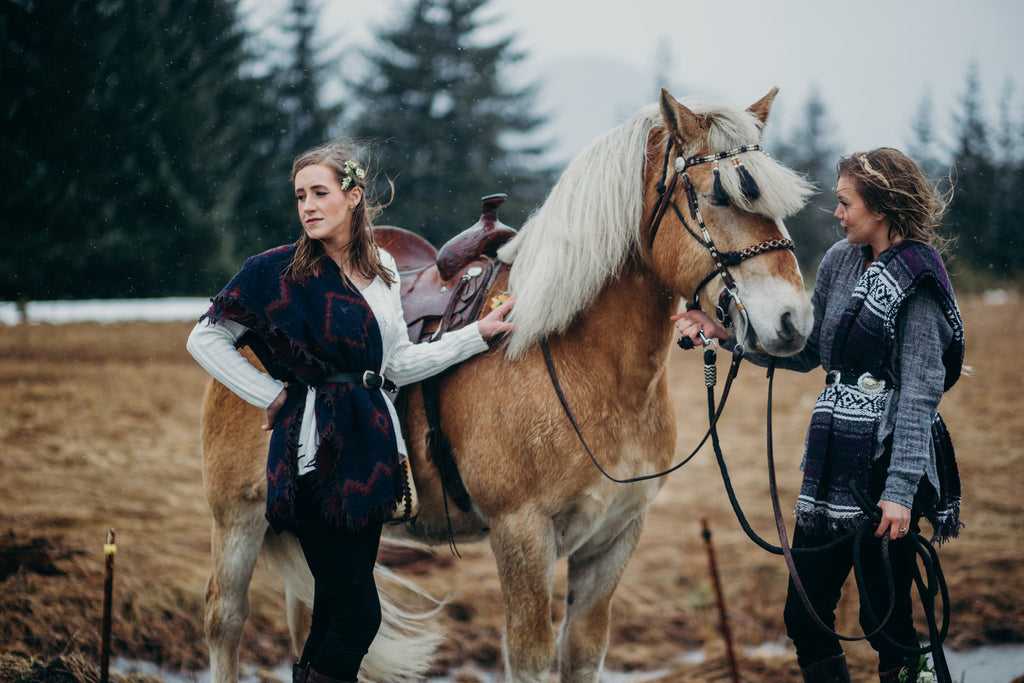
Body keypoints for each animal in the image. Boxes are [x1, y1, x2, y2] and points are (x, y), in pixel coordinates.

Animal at [199, 89, 815, 683]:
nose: (793, 321)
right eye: (718, 197)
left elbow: (582, 654)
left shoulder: (615, 538)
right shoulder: (522, 534)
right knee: (225, 621)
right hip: (239, 517)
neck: (583, 363)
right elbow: (530, 657)